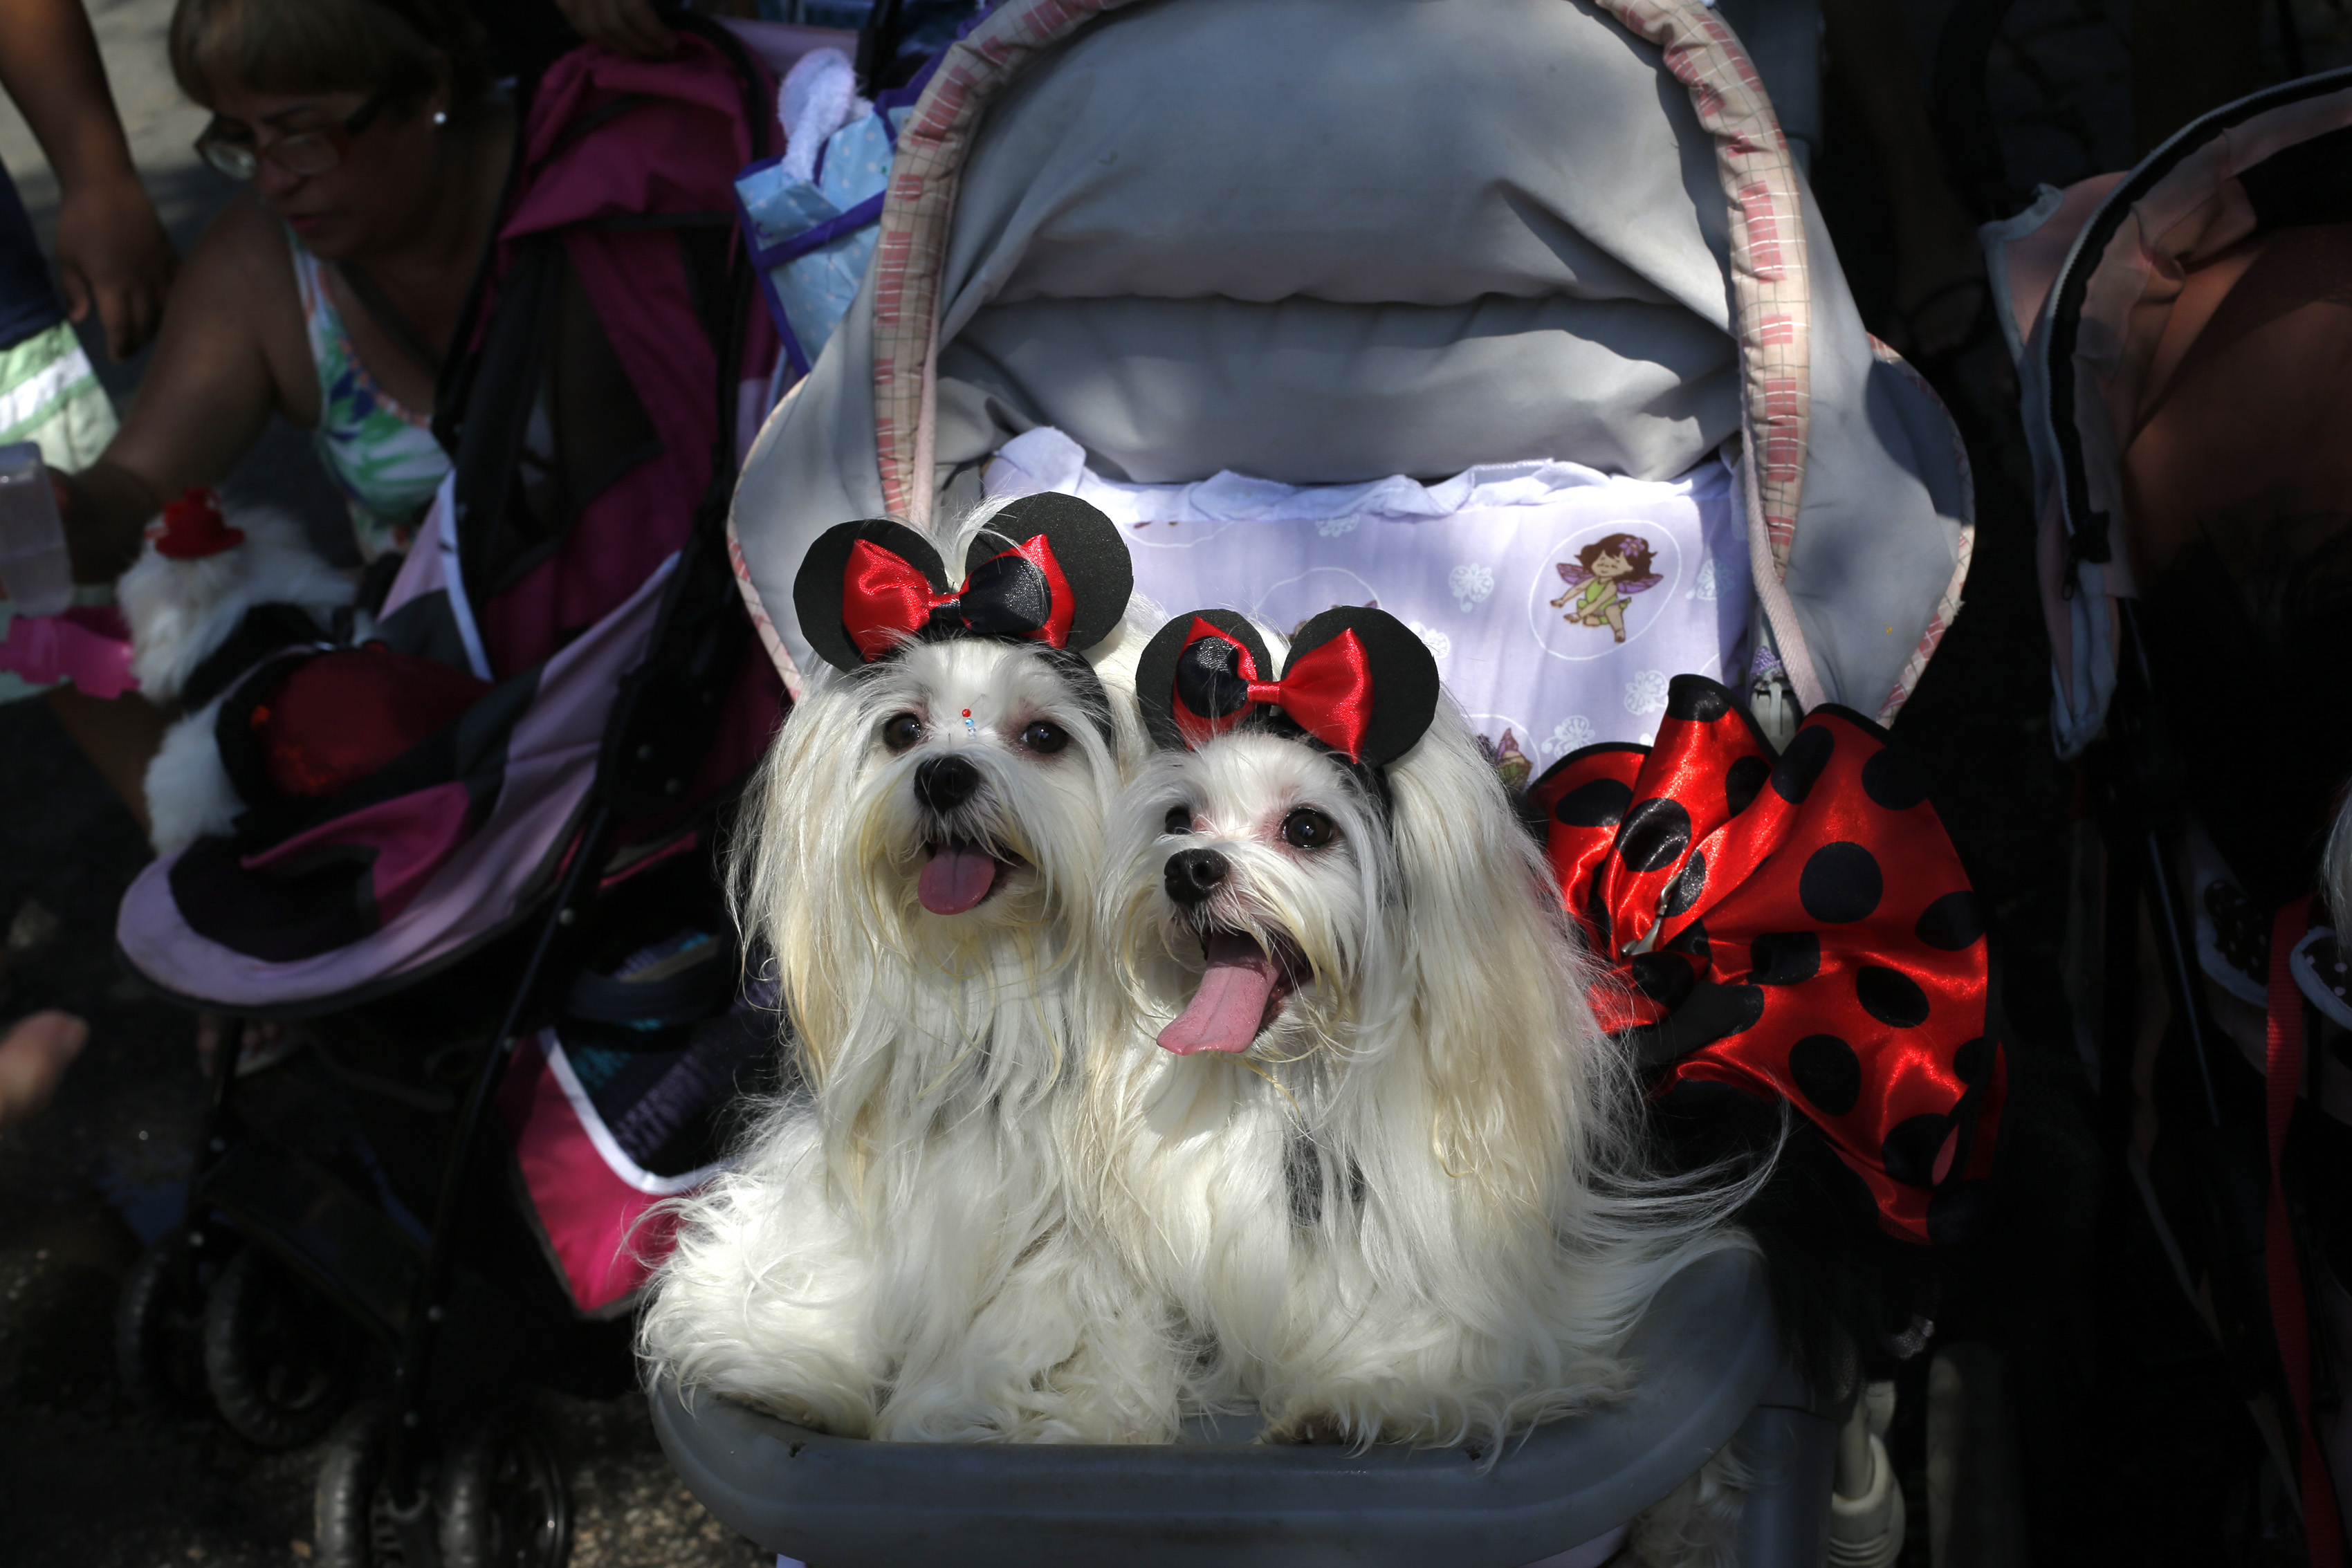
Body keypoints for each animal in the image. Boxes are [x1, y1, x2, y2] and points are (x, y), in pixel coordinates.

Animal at [639, 496, 1176, 1439]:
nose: (943, 774)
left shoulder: (1085, 1247)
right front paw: (790, 1358)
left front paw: (954, 1407)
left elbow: (1039, 1314)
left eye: (1044, 735)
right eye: (901, 731)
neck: (992, 982)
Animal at [1082, 606, 1749, 1551]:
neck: (1309, 1080)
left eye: (1309, 829)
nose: (1188, 867)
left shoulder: (1512, 1308)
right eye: (1181, 816)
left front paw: (1350, 1397)